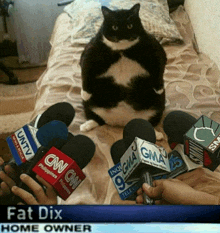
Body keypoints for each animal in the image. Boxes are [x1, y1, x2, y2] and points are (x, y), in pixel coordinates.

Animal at [79, 2, 167, 136]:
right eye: (115, 27)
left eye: (130, 25)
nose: (123, 35)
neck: (122, 50)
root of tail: (122, 122)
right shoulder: (90, 51)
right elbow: (85, 70)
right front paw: (85, 94)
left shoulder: (155, 49)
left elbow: (160, 67)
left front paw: (159, 88)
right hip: (89, 105)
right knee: (96, 118)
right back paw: (86, 125)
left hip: (158, 105)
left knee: (149, 124)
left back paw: (157, 134)